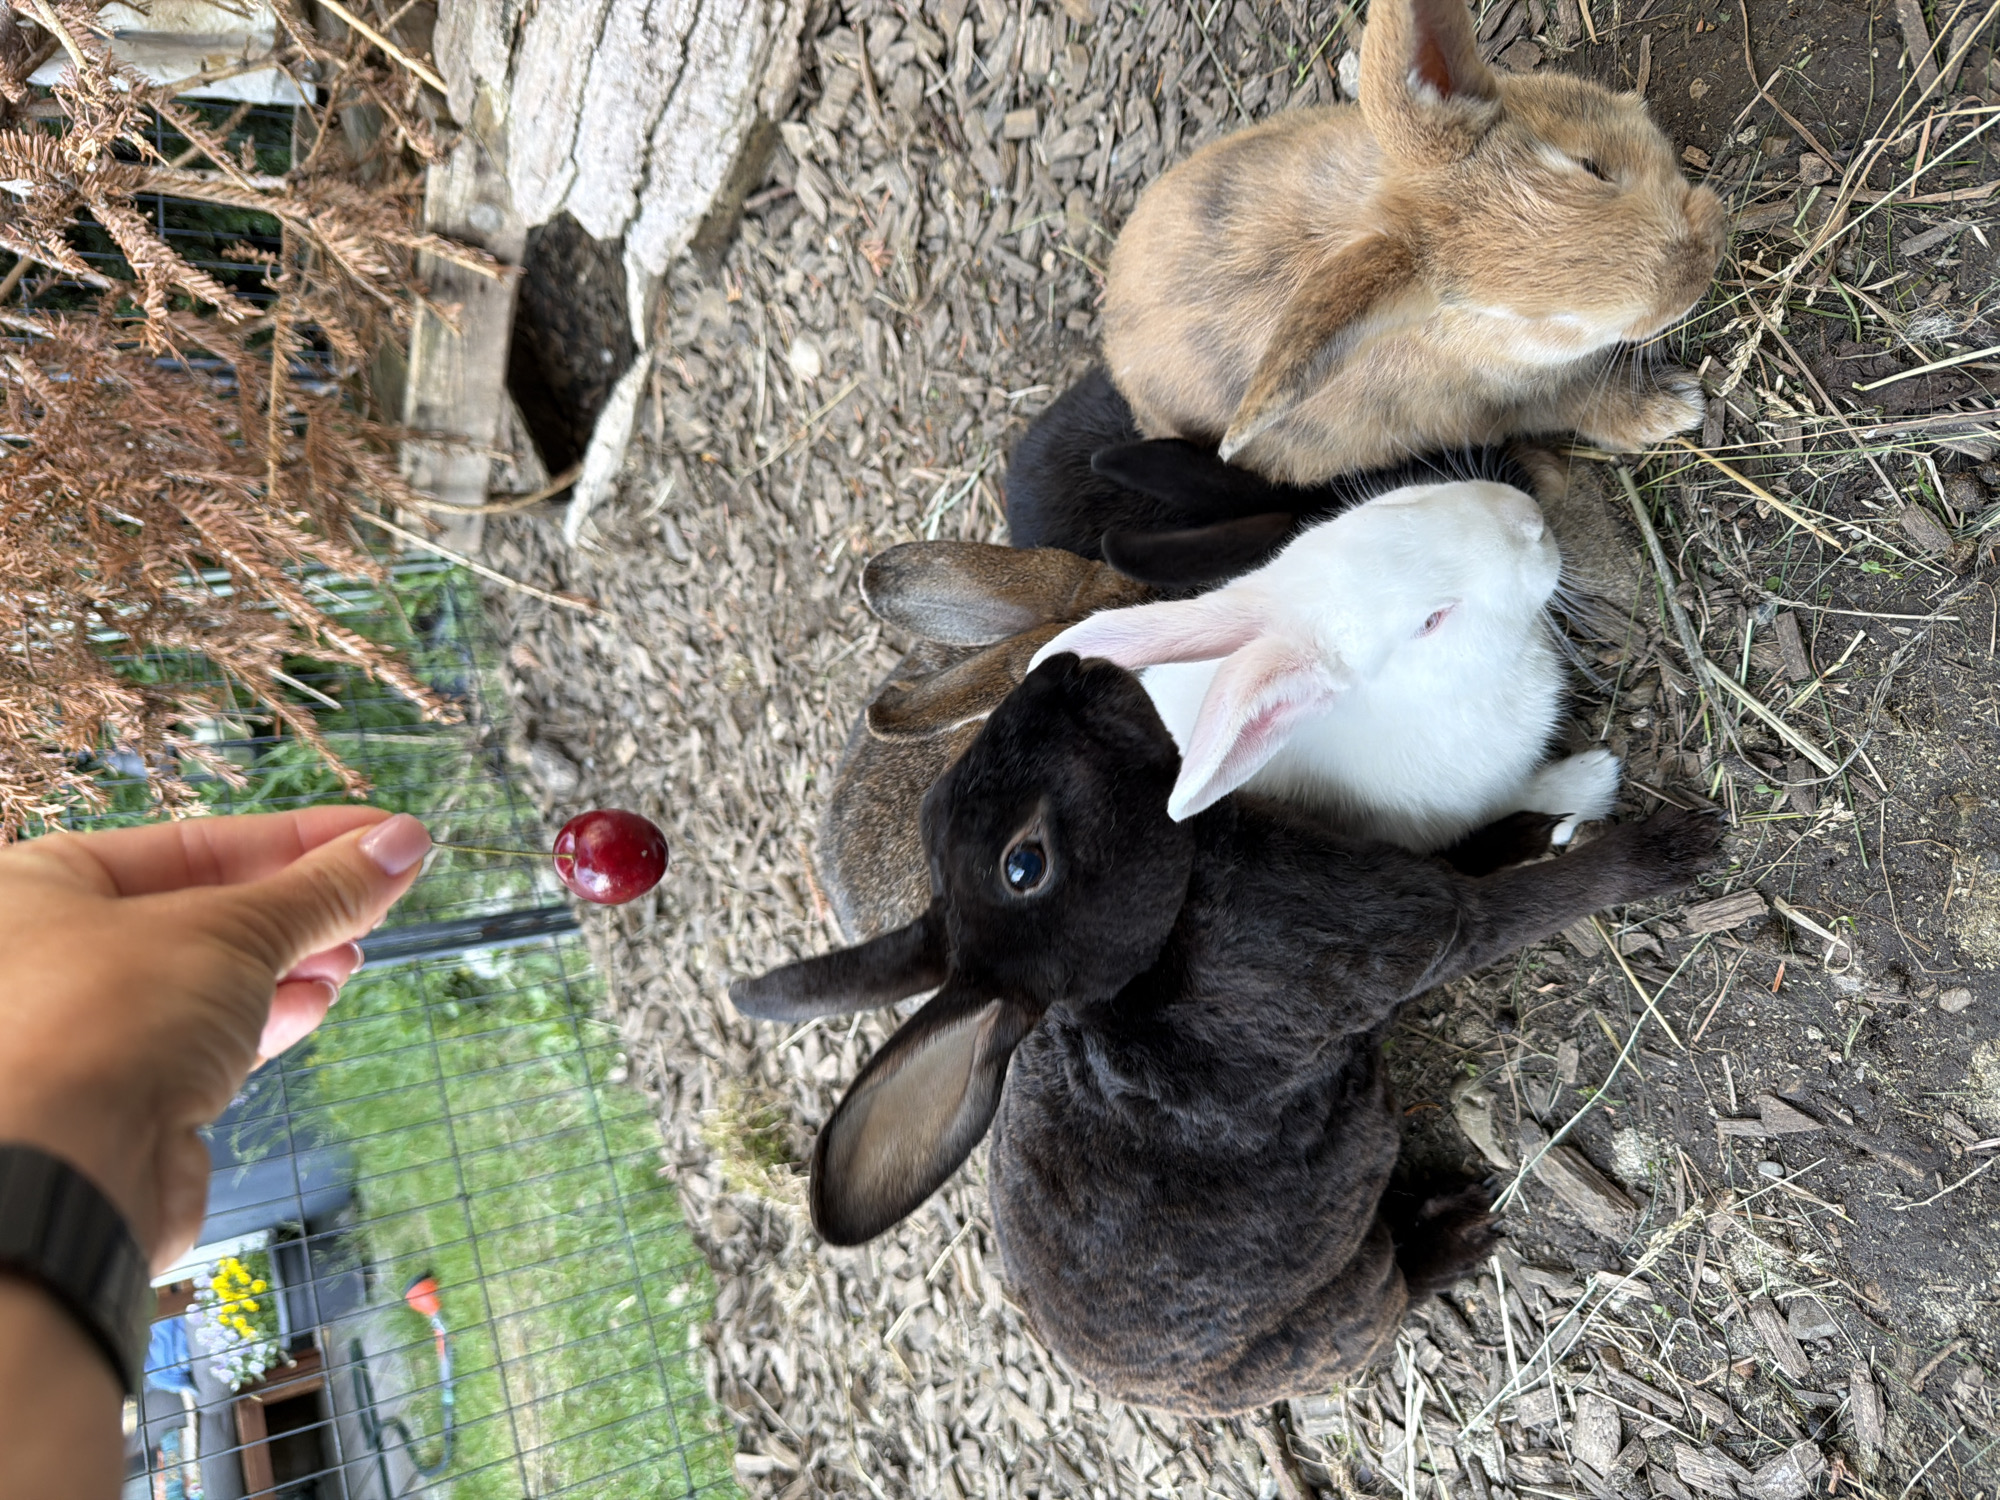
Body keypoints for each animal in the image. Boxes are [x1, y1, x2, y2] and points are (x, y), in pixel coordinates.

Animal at [732, 653, 1723, 1415]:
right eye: (1024, 866)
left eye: (940, 804)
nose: (1066, 669)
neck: (1157, 945)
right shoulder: (1430, 933)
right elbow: (1541, 902)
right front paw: (1677, 850)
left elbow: (1464, 858)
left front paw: (1529, 827)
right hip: (1354, 1299)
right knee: (1398, 1289)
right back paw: (1460, 1228)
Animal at [1034, 476, 1622, 846]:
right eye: (1431, 621)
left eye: (1390, 507)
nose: (1530, 521)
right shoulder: (1456, 814)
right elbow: (1532, 799)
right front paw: (1596, 778)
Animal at [1101, 0, 1727, 486]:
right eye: (1535, 318)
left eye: (1591, 166)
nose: (1699, 265)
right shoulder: (1489, 409)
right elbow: (1571, 402)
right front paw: (1674, 407)